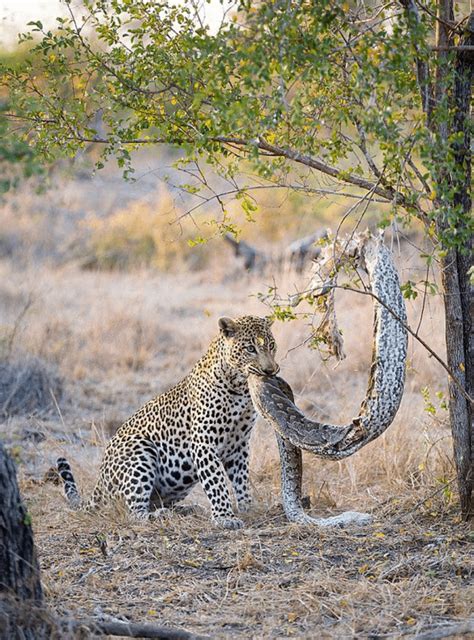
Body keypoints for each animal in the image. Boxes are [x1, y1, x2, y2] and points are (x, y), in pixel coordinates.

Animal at [57, 315, 279, 529]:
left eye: (272, 345)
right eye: (250, 348)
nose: (270, 370)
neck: (240, 387)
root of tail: (99, 483)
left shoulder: (239, 444)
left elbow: (241, 479)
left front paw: (248, 507)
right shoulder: (204, 443)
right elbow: (216, 482)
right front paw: (225, 517)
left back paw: (187, 509)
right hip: (140, 448)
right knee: (133, 512)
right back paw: (159, 515)